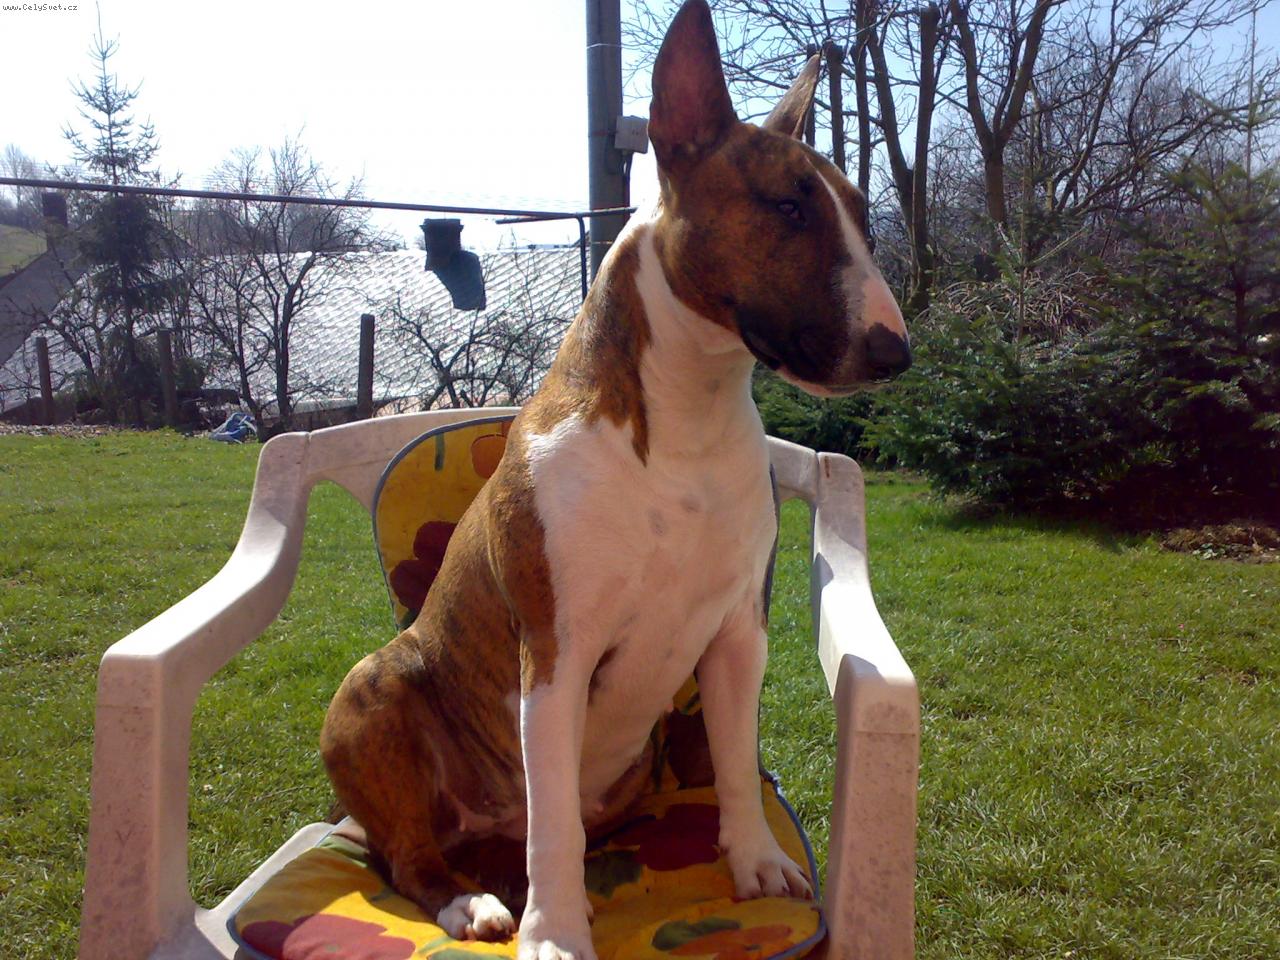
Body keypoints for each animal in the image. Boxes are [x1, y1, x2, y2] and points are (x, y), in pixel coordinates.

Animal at [320, 4, 910, 960]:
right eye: (787, 205)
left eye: (858, 211)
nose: (897, 353)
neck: (686, 418)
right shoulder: (558, 652)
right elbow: (553, 821)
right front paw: (557, 932)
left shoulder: (738, 633)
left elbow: (736, 761)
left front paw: (755, 864)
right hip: (378, 687)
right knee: (410, 854)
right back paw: (472, 902)